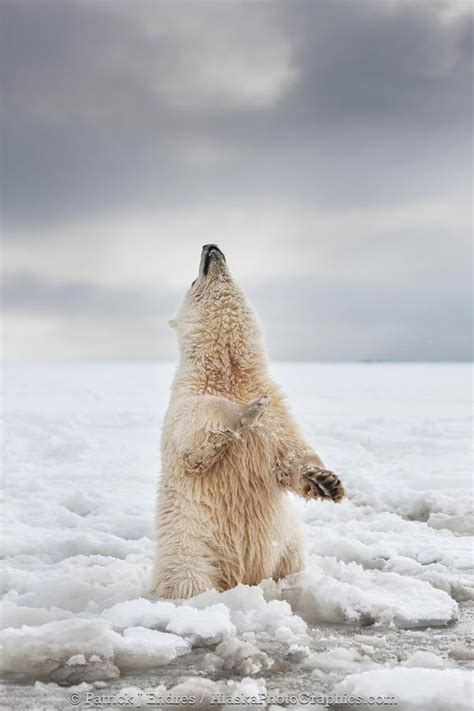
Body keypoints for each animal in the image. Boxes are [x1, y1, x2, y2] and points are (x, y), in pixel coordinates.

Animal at [152, 245, 344, 600]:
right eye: (194, 280)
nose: (210, 247)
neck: (229, 370)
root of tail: (241, 579)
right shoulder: (187, 398)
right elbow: (195, 434)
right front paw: (248, 411)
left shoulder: (279, 407)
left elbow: (290, 453)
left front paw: (327, 481)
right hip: (189, 549)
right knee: (189, 580)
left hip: (288, 544)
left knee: (291, 561)